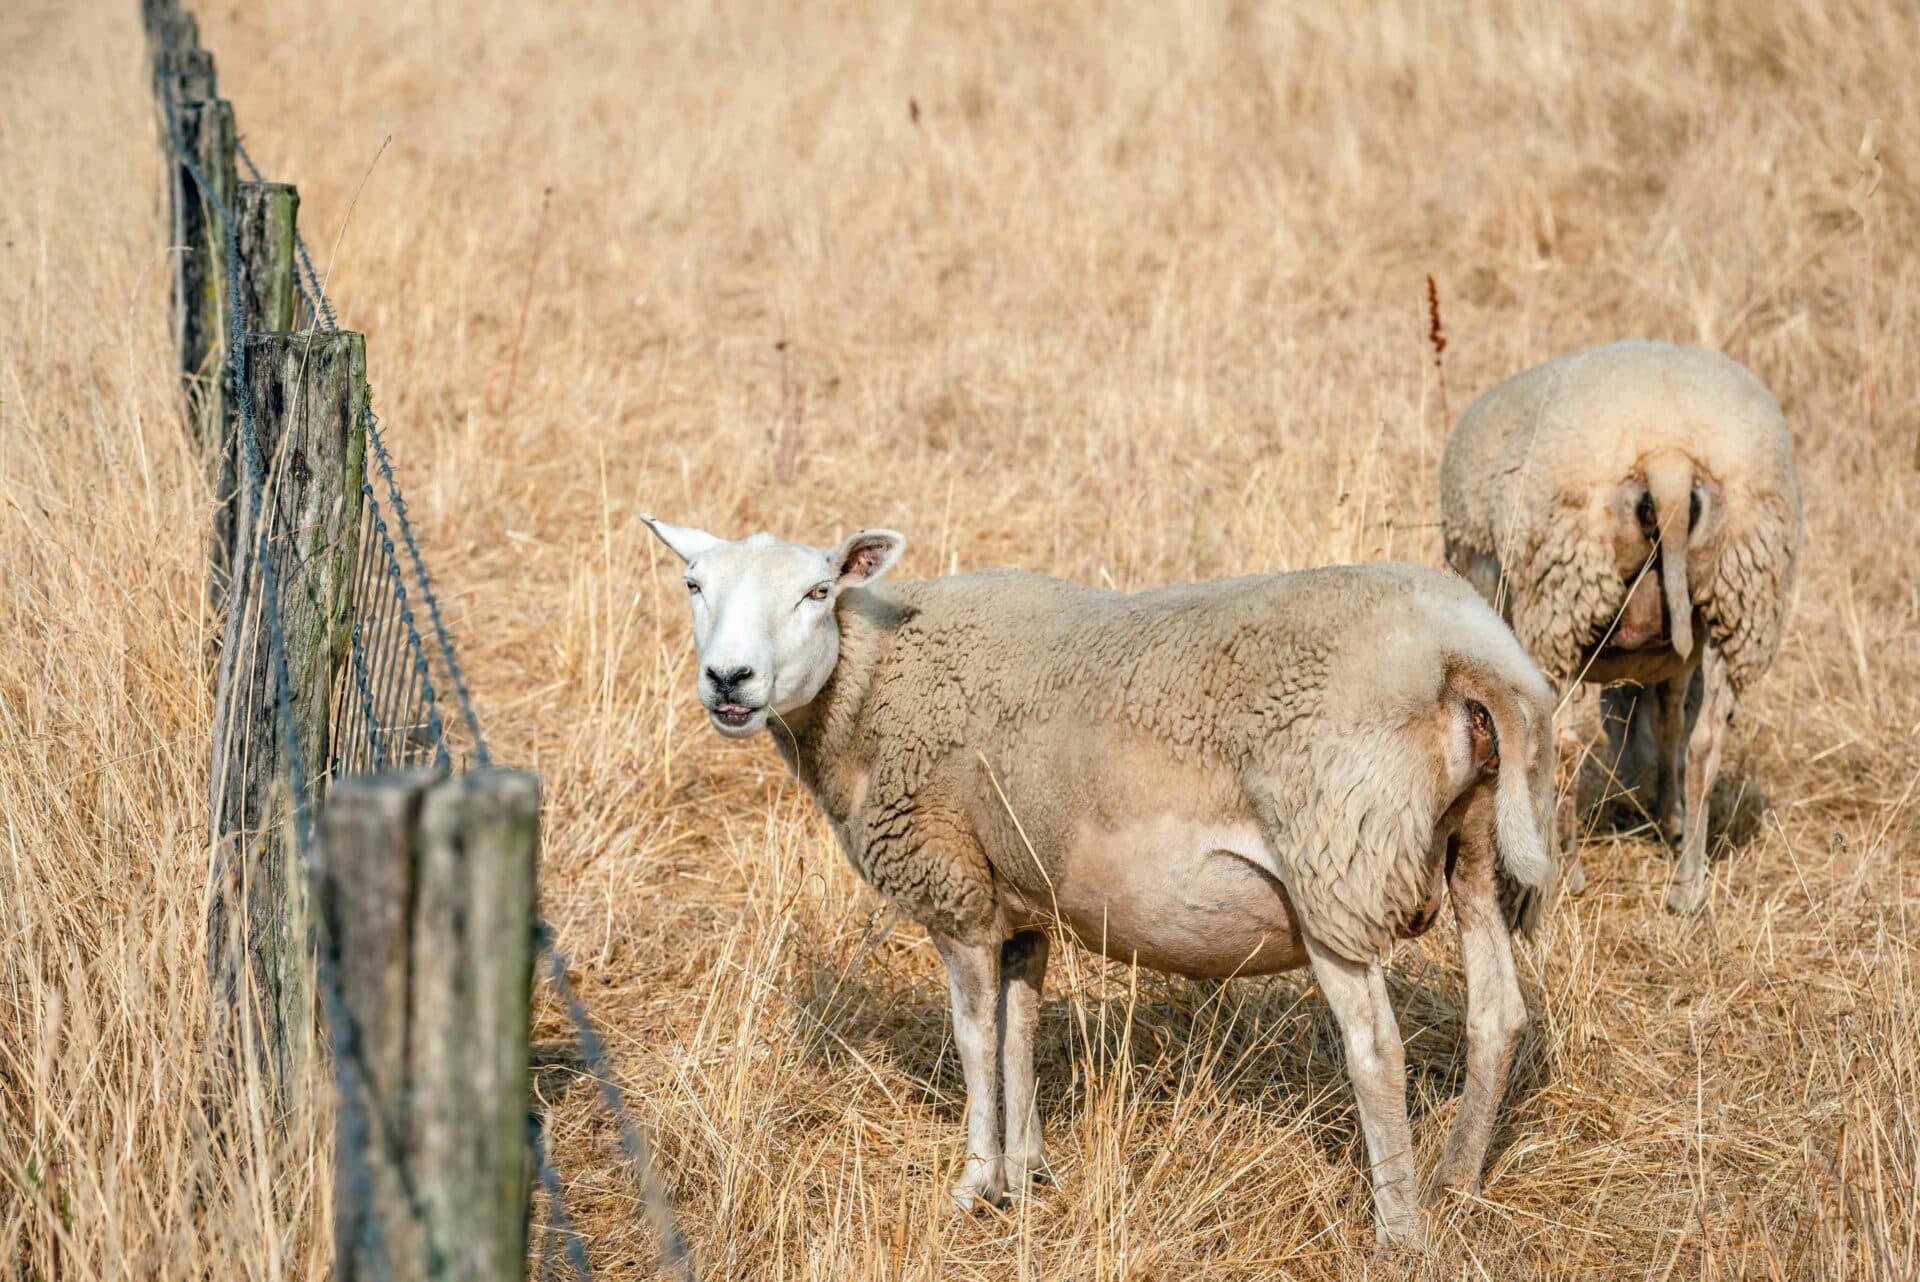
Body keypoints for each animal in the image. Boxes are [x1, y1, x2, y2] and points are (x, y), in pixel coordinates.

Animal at [643, 515, 1558, 1248]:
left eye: (818, 590)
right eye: (693, 585)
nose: (730, 681)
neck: (871, 687)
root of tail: (1462, 650)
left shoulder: (954, 885)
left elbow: (975, 1037)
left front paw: (975, 1184)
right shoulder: (1021, 897)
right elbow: (1020, 1028)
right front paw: (1029, 1170)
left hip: (1335, 857)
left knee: (1376, 1054)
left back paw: (1398, 1230)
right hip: (1474, 845)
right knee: (1496, 1015)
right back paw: (1458, 1184)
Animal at [1439, 340, 1802, 913]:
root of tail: (1669, 459)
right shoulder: (1676, 658)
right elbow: (1672, 721)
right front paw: (1668, 815)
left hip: (1561, 599)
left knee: (1561, 742)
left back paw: (1567, 874)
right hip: (1740, 591)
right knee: (1703, 744)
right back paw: (1687, 884)